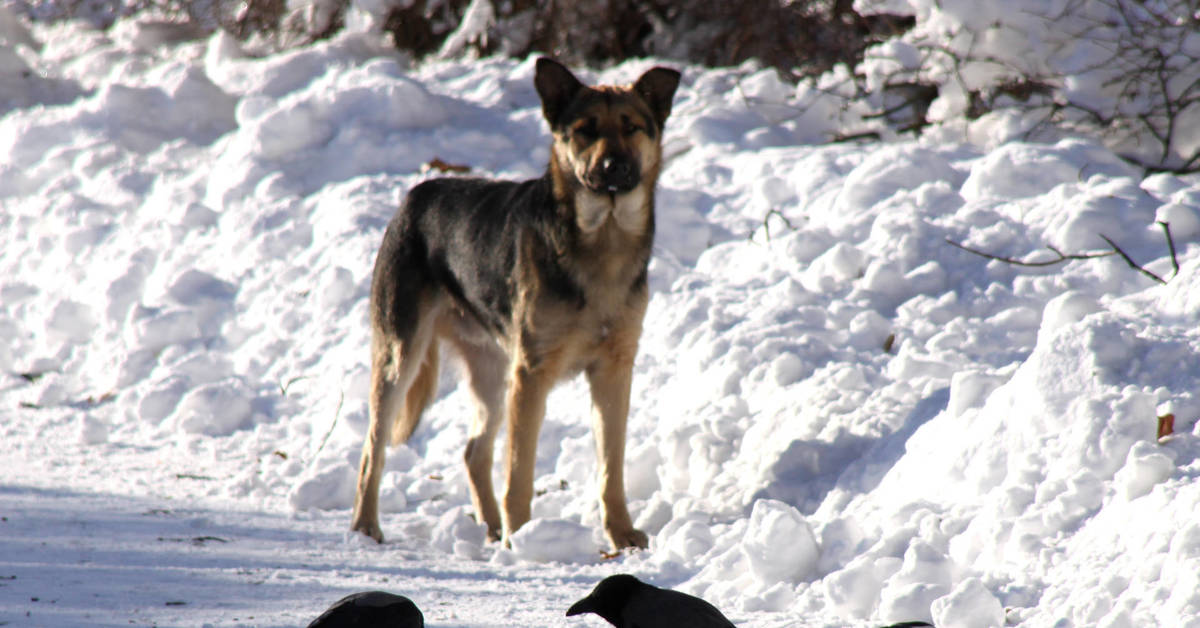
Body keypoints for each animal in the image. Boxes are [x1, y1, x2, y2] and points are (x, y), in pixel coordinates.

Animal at [350, 57, 681, 549]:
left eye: (632, 127)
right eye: (585, 129)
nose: (612, 166)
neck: (602, 240)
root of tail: (414, 196)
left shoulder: (613, 370)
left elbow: (611, 469)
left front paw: (621, 535)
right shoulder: (533, 373)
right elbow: (520, 473)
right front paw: (522, 537)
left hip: (491, 370)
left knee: (473, 452)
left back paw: (490, 529)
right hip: (402, 355)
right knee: (373, 448)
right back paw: (367, 526)